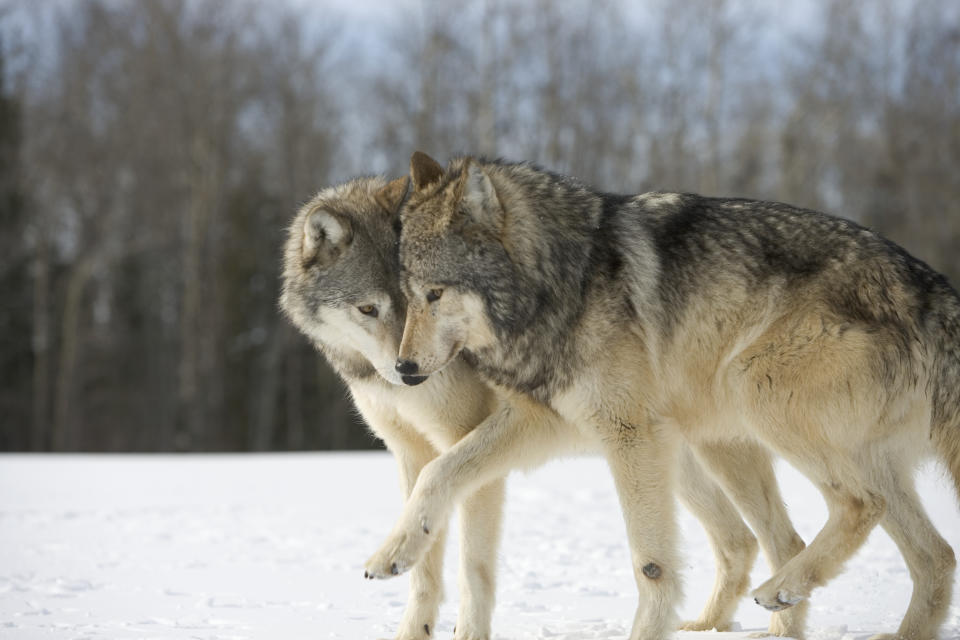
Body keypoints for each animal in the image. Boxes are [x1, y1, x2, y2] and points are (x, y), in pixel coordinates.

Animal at [372, 152, 960, 640]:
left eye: (435, 293)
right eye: (407, 296)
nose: (403, 369)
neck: (565, 281)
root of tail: (930, 285)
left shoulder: (629, 434)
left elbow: (650, 563)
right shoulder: (548, 421)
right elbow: (439, 470)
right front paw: (394, 552)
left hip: (752, 390)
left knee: (859, 506)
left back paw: (781, 590)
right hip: (732, 444)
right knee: (928, 554)